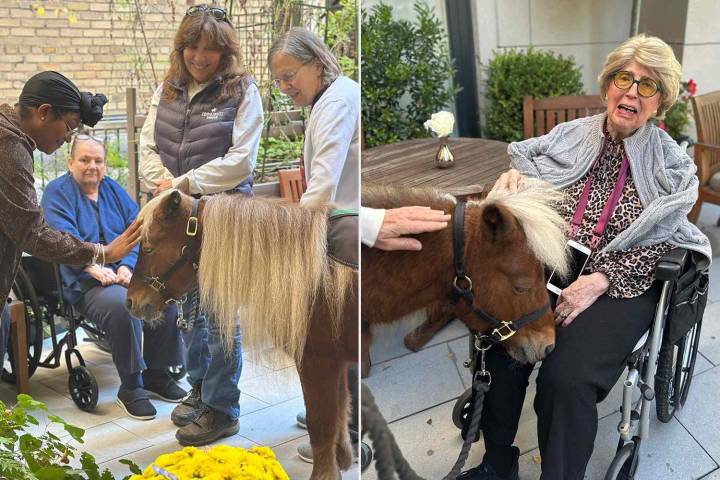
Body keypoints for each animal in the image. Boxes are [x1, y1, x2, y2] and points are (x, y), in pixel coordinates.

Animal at [125, 190, 357, 480]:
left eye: (147, 247)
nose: (131, 302)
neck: (313, 275)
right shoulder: (337, 360)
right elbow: (341, 410)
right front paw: (343, 459)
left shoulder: (318, 361)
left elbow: (322, 424)